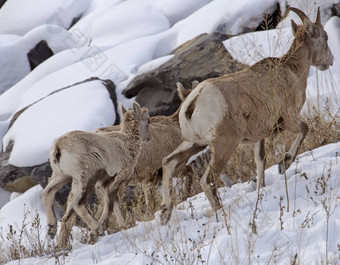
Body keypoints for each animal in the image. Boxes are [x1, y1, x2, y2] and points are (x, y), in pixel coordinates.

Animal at [41, 101, 151, 243]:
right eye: (148, 120)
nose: (149, 138)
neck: (129, 141)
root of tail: (58, 147)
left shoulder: (104, 184)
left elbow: (114, 203)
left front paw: (123, 226)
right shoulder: (116, 180)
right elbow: (109, 205)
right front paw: (95, 233)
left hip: (62, 176)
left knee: (48, 193)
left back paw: (51, 229)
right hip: (87, 178)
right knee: (77, 203)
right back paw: (98, 229)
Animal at [160, 7, 334, 224]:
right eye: (325, 37)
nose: (330, 61)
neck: (291, 72)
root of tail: (192, 103)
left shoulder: (258, 137)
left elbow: (260, 162)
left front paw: (261, 189)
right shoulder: (288, 120)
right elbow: (304, 130)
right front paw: (283, 164)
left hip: (194, 143)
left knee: (167, 162)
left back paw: (165, 213)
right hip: (223, 146)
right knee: (207, 180)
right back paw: (219, 212)